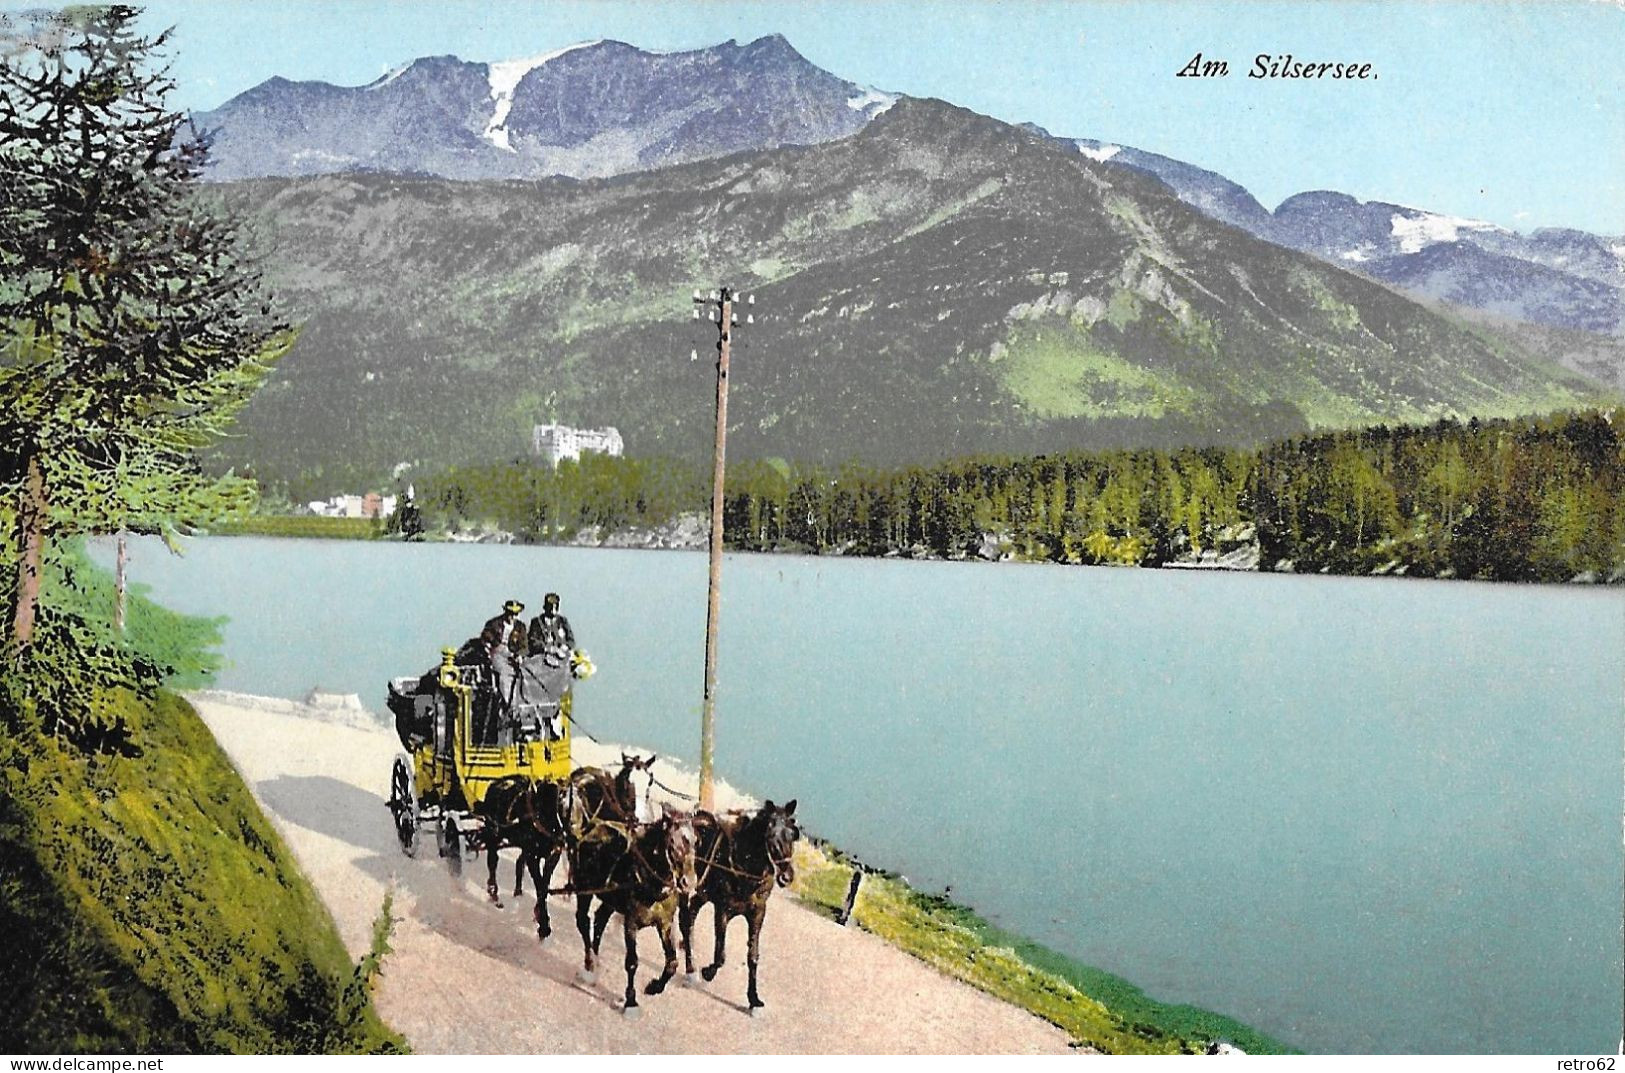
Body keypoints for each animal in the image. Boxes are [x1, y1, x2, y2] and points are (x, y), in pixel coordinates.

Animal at [568, 770, 695, 1014]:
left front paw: (654, 987)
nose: (689, 883)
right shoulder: (631, 922)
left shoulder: (665, 922)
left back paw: (595, 961)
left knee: (599, 919)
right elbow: (632, 962)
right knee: (582, 921)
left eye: (695, 841)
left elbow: (672, 962)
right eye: (673, 843)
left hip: (609, 899)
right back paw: (589, 967)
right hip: (584, 889)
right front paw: (631, 1001)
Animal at [676, 796, 796, 1014]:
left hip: (704, 893)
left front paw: (754, 999)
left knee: (691, 914)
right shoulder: (723, 909)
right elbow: (720, 954)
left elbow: (753, 956)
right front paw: (707, 972)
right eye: (770, 835)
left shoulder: (757, 913)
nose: (787, 876)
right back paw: (691, 970)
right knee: (684, 918)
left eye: (792, 834)